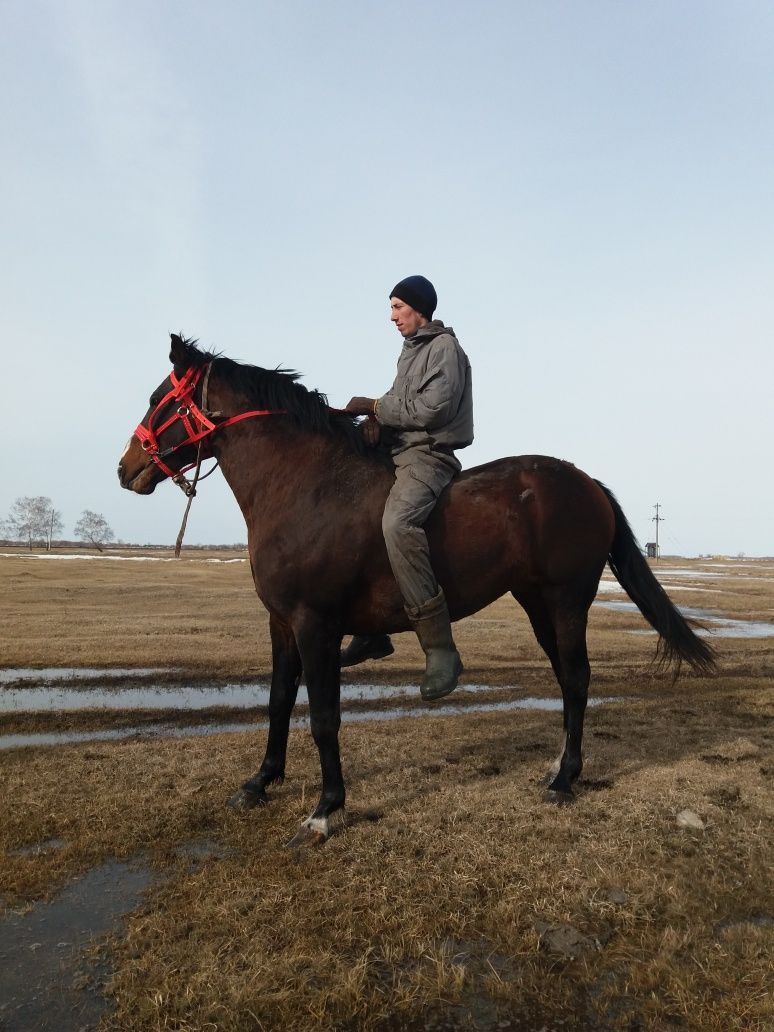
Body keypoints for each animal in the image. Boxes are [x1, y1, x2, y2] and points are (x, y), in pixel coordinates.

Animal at [118, 334, 718, 850]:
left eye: (155, 401)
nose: (126, 468)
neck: (307, 486)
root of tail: (586, 482)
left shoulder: (315, 624)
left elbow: (323, 717)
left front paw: (325, 809)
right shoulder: (282, 624)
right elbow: (278, 701)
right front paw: (261, 781)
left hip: (567, 600)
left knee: (576, 678)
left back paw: (565, 779)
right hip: (536, 603)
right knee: (567, 680)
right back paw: (558, 765)